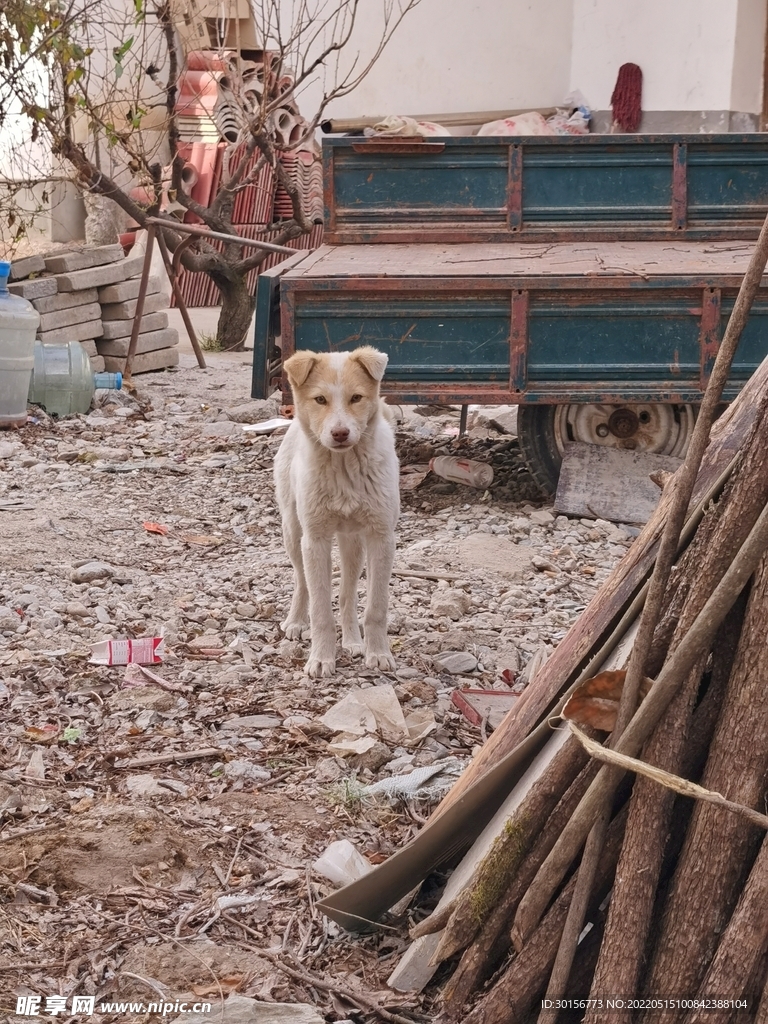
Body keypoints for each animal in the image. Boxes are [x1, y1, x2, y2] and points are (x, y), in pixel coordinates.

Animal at [274, 346, 399, 679]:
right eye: (320, 400)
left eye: (356, 398)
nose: (340, 433)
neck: (345, 470)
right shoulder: (315, 540)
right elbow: (320, 610)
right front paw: (320, 659)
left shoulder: (381, 537)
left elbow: (376, 608)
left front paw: (377, 653)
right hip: (293, 533)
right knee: (301, 581)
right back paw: (295, 621)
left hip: (352, 542)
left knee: (347, 593)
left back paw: (353, 640)